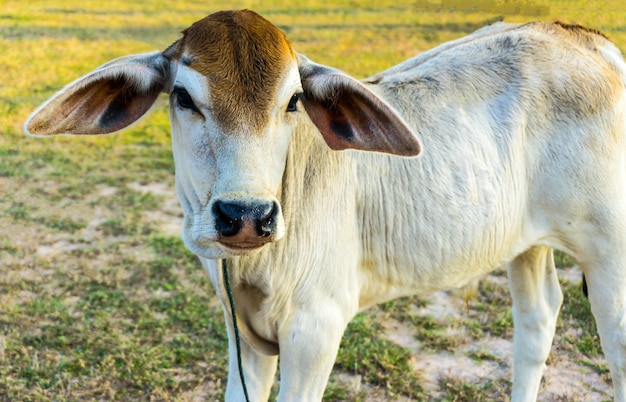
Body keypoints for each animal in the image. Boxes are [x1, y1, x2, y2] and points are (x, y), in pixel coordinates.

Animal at [24, 9, 624, 402]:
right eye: (183, 97)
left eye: (294, 101)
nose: (247, 216)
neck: (253, 266)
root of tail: (589, 40)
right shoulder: (240, 335)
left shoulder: (315, 330)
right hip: (525, 243)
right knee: (538, 318)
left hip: (609, 255)